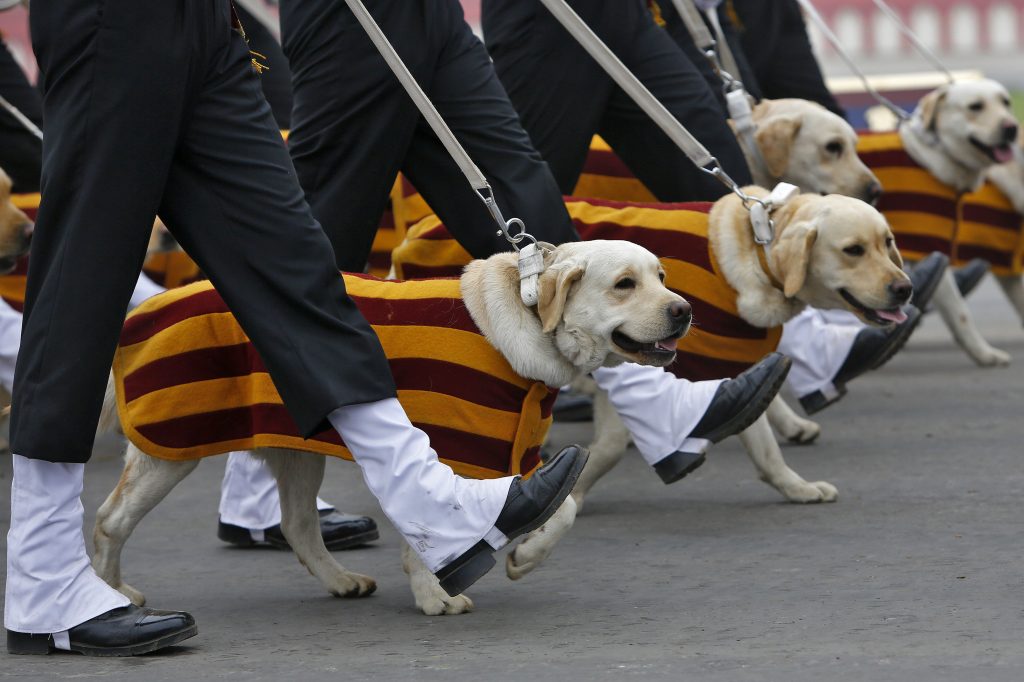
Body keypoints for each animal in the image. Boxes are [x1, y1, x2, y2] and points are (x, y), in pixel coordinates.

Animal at [96, 240, 692, 614]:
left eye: (662, 277)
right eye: (624, 284)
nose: (684, 310)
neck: (525, 321)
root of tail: (141, 312)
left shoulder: (518, 455)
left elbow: (563, 507)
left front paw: (525, 558)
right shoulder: (450, 451)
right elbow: (430, 525)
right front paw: (436, 597)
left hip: (297, 453)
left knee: (298, 524)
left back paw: (340, 581)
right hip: (168, 450)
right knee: (108, 521)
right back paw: (112, 595)